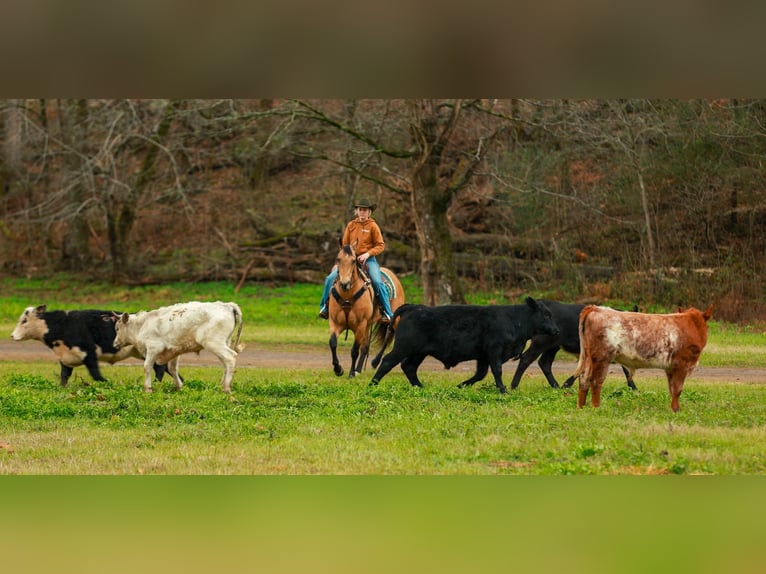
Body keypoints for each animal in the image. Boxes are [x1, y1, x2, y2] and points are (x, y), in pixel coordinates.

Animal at [328, 241, 405, 378]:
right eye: (338, 259)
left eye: (353, 260)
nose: (344, 284)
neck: (347, 296)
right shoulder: (335, 322)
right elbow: (333, 343)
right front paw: (338, 369)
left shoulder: (360, 324)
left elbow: (354, 350)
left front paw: (351, 374)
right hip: (368, 324)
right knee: (366, 346)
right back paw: (359, 369)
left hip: (393, 319)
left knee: (389, 334)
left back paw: (375, 362)